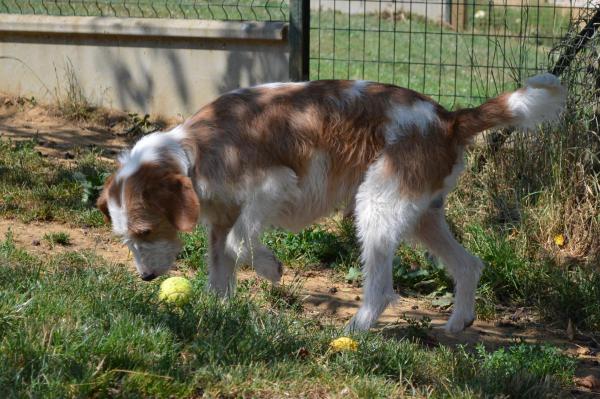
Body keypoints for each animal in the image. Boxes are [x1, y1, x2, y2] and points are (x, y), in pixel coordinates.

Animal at [96, 75, 564, 334]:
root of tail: (449, 118)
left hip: (376, 209)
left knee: (382, 289)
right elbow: (220, 266)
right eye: (126, 238)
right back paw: (458, 321)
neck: (192, 150)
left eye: (144, 231)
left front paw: (270, 268)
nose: (146, 277)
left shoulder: (273, 185)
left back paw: (355, 330)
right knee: (469, 264)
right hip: (420, 217)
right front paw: (218, 314)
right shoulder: (221, 218)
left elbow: (239, 242)